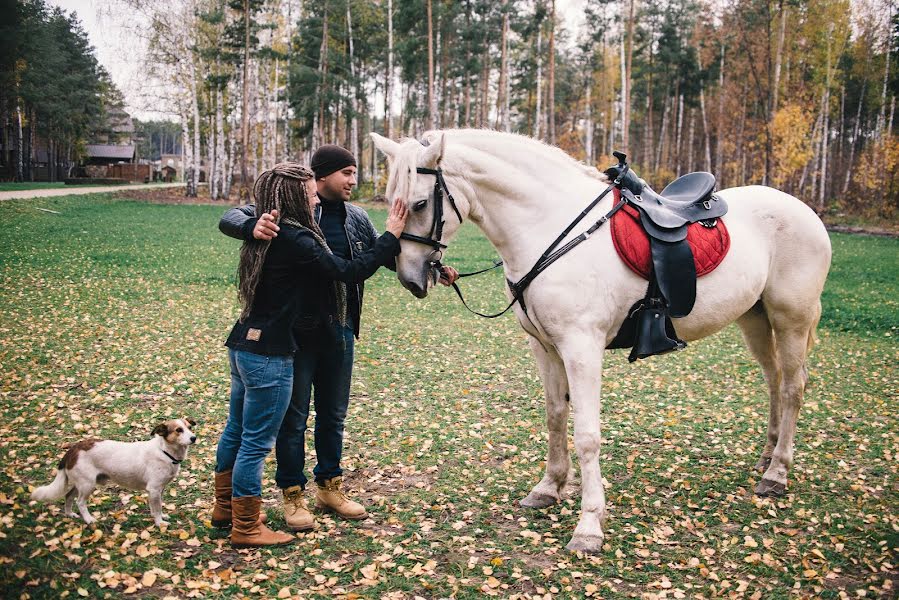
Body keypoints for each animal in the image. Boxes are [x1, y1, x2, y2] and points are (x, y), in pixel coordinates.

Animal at [32, 418, 197, 524]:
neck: (164, 451)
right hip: (87, 485)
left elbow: (158, 507)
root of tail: (74, 448)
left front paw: (162, 517)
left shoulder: (159, 490)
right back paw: (89, 520)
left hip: (79, 484)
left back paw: (69, 514)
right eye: (178, 430)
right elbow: (156, 509)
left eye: (190, 428)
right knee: (80, 502)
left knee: (68, 497)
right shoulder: (154, 489)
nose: (194, 438)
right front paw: (159, 523)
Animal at [370, 129, 832, 556]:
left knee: (793, 388)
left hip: (790, 320)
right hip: (755, 320)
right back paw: (767, 457)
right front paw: (550, 486)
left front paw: (589, 525)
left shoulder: (582, 348)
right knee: (774, 381)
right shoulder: (545, 347)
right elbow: (556, 416)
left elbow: (587, 434)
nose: (409, 278)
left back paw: (777, 473)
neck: (546, 226)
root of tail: (803, 210)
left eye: (419, 204)